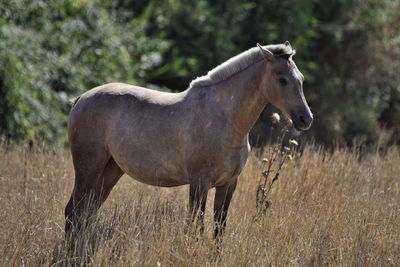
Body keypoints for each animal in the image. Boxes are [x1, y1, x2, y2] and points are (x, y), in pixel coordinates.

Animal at [64, 41, 312, 239]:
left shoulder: (228, 185)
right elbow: (196, 227)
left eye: (300, 79)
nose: (305, 119)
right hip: (88, 168)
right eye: (282, 80)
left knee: (85, 214)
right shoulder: (199, 183)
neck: (225, 118)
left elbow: (218, 229)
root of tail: (81, 98)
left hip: (110, 170)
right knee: (73, 212)